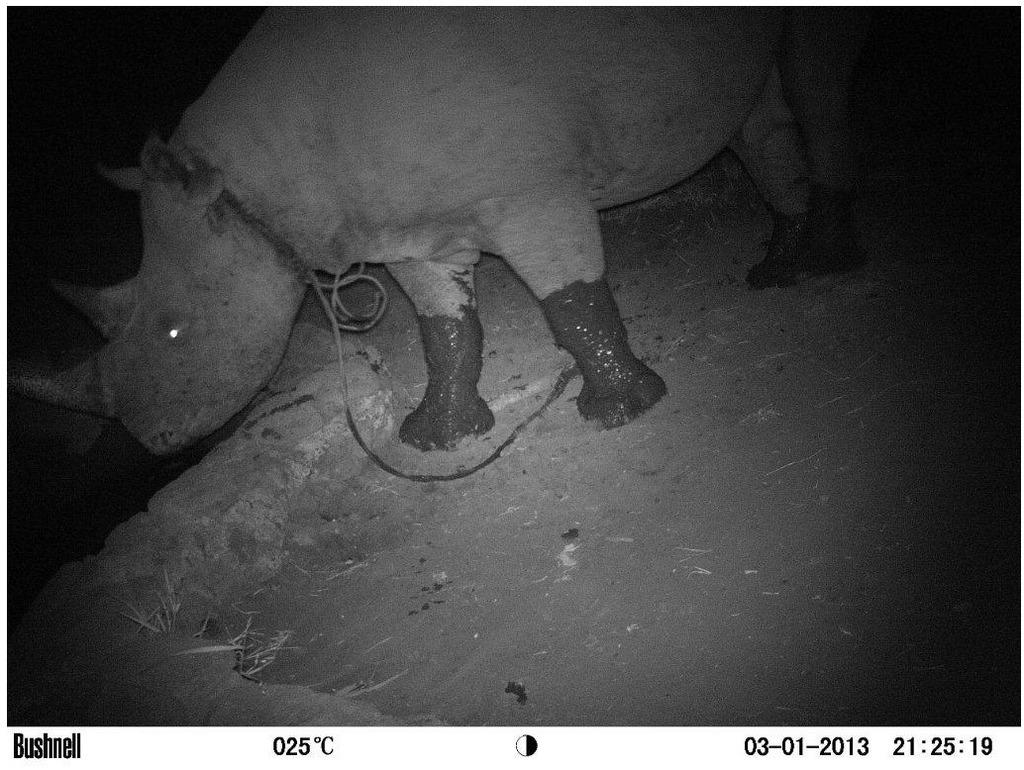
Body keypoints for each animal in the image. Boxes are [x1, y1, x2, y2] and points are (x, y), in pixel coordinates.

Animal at [12, 8, 866, 454]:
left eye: (173, 331)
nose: (153, 444)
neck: (251, 182)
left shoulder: (531, 190)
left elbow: (570, 297)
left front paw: (622, 412)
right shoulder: (405, 232)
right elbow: (443, 325)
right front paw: (437, 438)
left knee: (813, 77)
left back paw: (825, 266)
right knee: (756, 122)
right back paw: (775, 271)